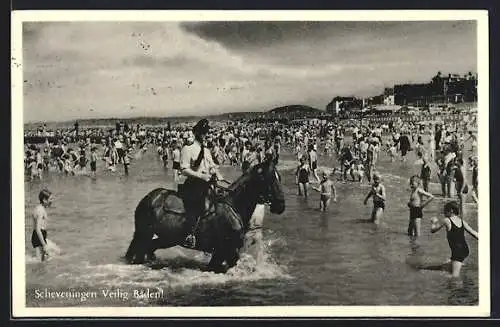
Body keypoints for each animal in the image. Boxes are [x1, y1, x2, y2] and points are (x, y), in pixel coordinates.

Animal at [124, 160, 286, 272]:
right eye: (269, 179)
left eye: (279, 177)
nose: (280, 206)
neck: (233, 206)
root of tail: (150, 197)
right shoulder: (225, 251)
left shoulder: (227, 253)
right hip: (145, 234)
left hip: (167, 238)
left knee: (148, 248)